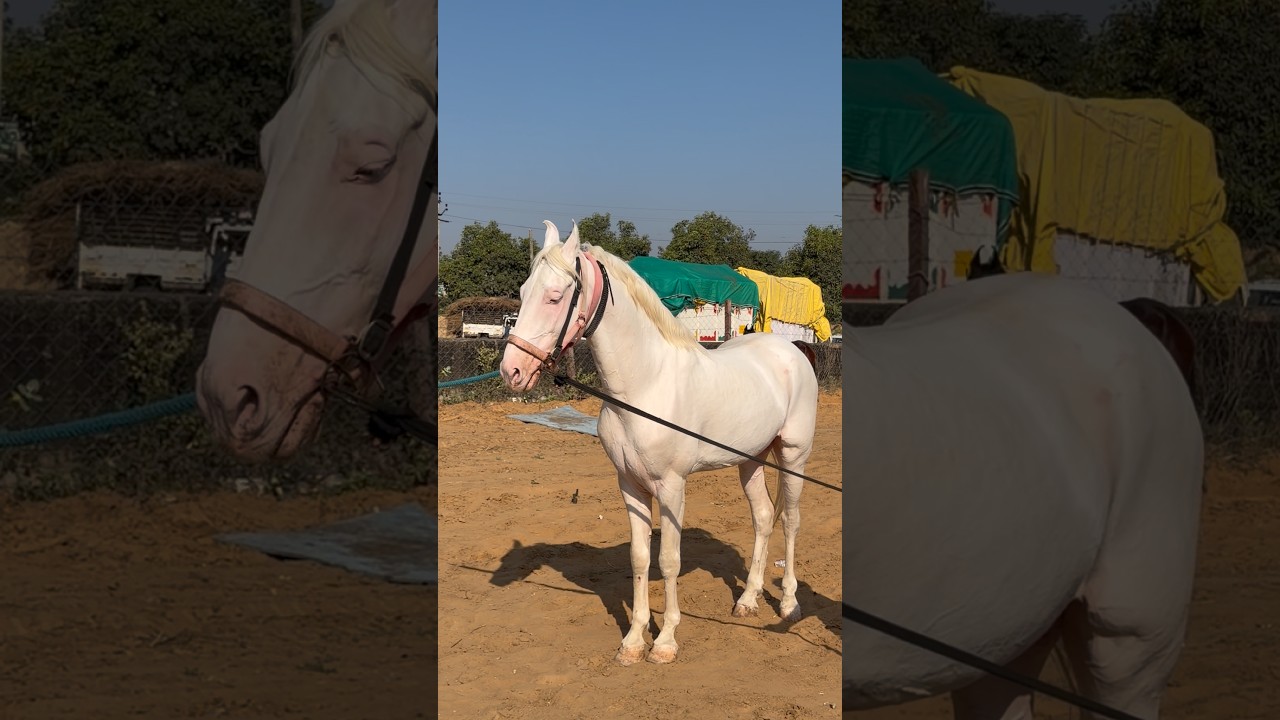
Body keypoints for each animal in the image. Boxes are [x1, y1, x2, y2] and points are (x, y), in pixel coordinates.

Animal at [499, 221, 820, 666]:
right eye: (524, 291)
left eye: (555, 296)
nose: (511, 370)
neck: (644, 385)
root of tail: (793, 349)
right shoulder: (630, 484)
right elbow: (639, 558)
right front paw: (633, 641)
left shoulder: (671, 487)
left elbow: (668, 560)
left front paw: (665, 641)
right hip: (751, 459)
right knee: (762, 517)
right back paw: (748, 600)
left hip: (792, 456)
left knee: (789, 520)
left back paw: (788, 603)